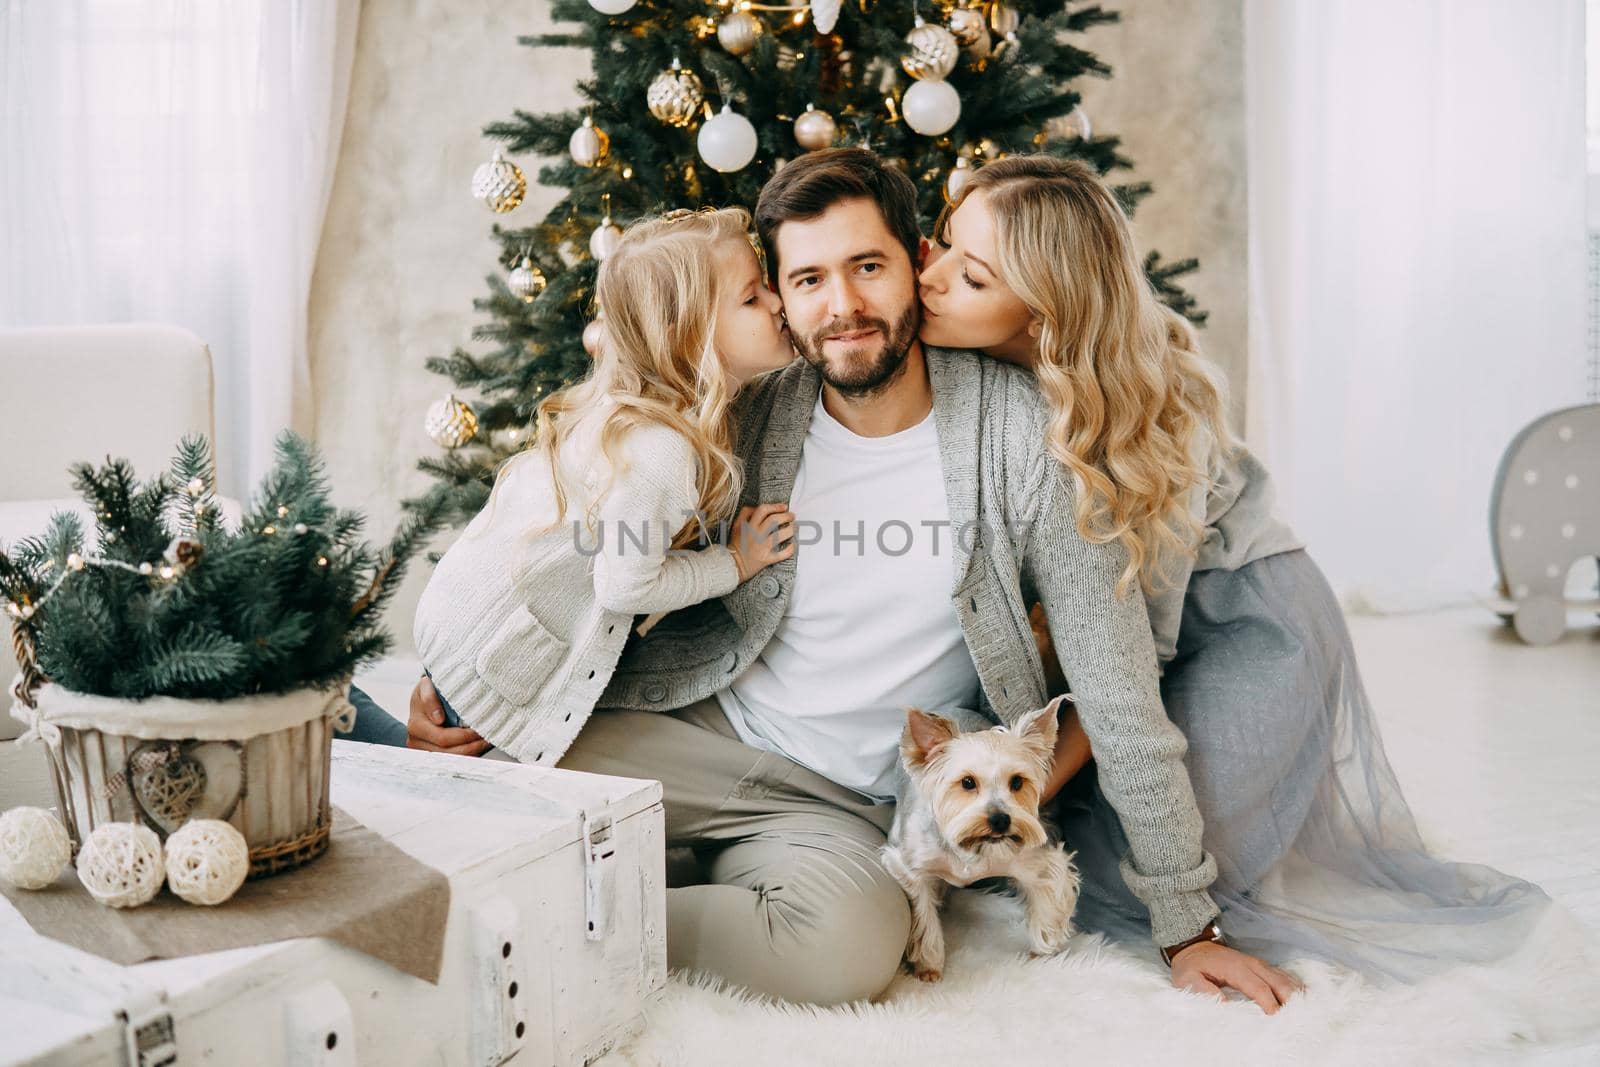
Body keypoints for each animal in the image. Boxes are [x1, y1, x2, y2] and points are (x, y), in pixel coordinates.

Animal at [883, 694, 1081, 985]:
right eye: (967, 782)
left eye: (1017, 782)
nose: (1000, 820)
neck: (973, 846)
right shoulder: (909, 865)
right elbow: (923, 915)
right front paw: (928, 964)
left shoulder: (1036, 860)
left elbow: (1048, 902)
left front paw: (1044, 952)